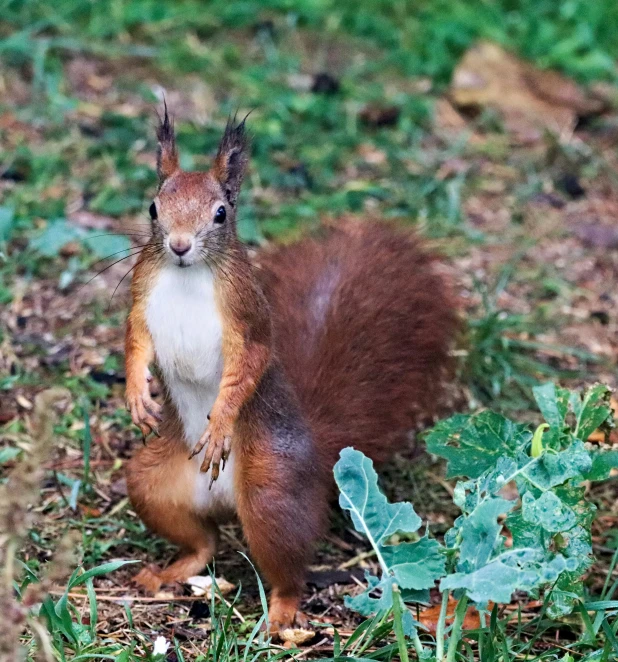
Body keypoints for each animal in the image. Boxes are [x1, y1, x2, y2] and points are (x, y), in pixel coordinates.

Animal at [122, 110, 454, 640]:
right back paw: (172, 570)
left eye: (221, 213)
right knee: (202, 543)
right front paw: (138, 395)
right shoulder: (141, 297)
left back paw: (280, 613)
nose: (179, 245)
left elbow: (248, 367)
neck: (185, 277)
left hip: (270, 494)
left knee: (287, 569)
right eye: (154, 208)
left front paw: (219, 426)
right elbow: (136, 345)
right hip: (153, 485)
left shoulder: (248, 318)